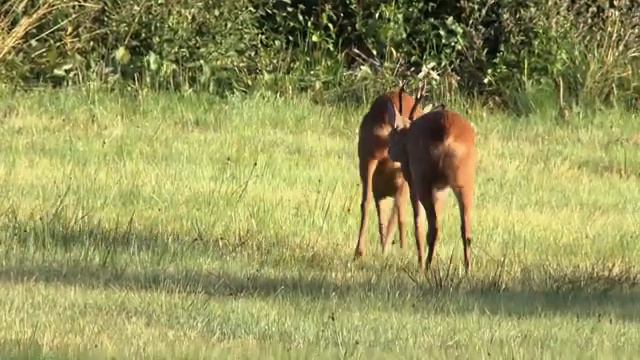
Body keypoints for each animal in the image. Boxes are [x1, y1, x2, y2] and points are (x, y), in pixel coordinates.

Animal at [384, 82, 476, 272]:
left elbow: (418, 221)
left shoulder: (412, 180)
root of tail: (447, 131)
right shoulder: (442, 189)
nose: (389, 152)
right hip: (465, 179)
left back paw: (425, 266)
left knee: (433, 227)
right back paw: (467, 268)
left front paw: (419, 261)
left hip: (423, 177)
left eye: (392, 134)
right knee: (466, 228)